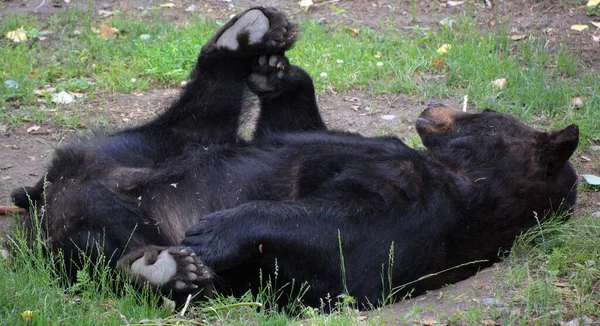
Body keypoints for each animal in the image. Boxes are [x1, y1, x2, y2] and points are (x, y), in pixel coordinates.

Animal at [10, 7, 580, 308]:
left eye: (482, 110)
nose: (431, 106)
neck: (467, 178)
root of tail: (52, 196)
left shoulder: (430, 212)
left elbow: (339, 232)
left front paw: (217, 230)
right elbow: (297, 129)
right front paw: (277, 72)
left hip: (110, 219)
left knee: (106, 249)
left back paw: (162, 265)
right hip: (150, 149)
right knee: (196, 119)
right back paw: (244, 34)